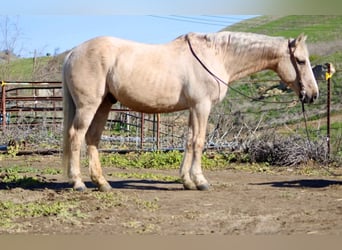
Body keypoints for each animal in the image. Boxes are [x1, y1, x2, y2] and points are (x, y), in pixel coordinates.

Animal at [62, 31, 320, 191]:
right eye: (301, 60)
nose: (313, 94)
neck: (216, 55)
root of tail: (73, 52)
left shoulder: (192, 109)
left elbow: (187, 141)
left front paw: (187, 181)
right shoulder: (201, 106)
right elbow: (199, 142)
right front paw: (201, 181)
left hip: (104, 104)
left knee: (92, 139)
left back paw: (102, 183)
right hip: (89, 105)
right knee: (76, 136)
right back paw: (78, 183)